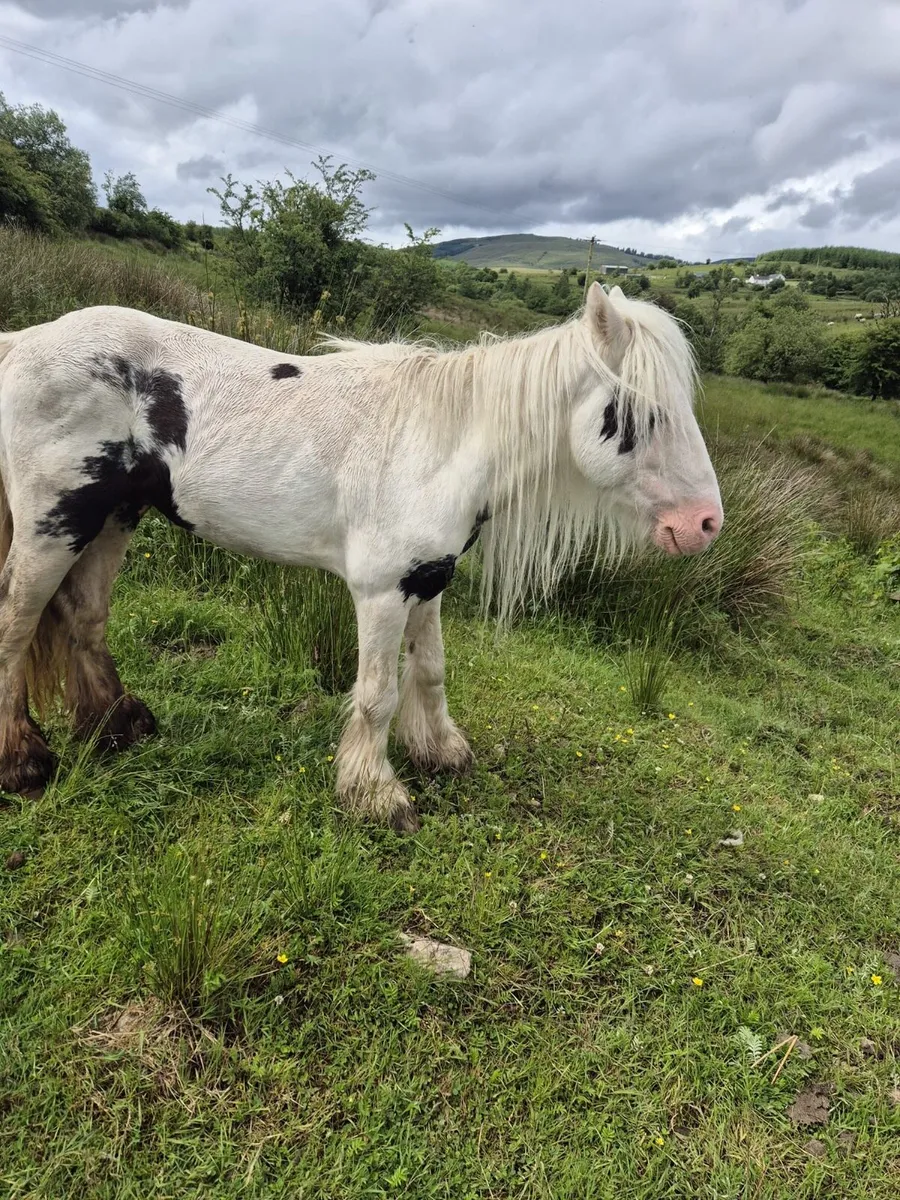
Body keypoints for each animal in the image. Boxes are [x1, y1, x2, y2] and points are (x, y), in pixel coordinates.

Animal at [0, 283, 722, 831]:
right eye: (638, 413)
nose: (704, 524)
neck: (441, 443)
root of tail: (23, 341)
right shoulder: (381, 592)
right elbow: (378, 693)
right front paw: (375, 793)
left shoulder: (428, 581)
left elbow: (429, 670)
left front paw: (441, 752)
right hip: (51, 527)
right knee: (16, 623)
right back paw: (23, 762)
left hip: (111, 519)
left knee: (85, 616)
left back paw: (117, 728)